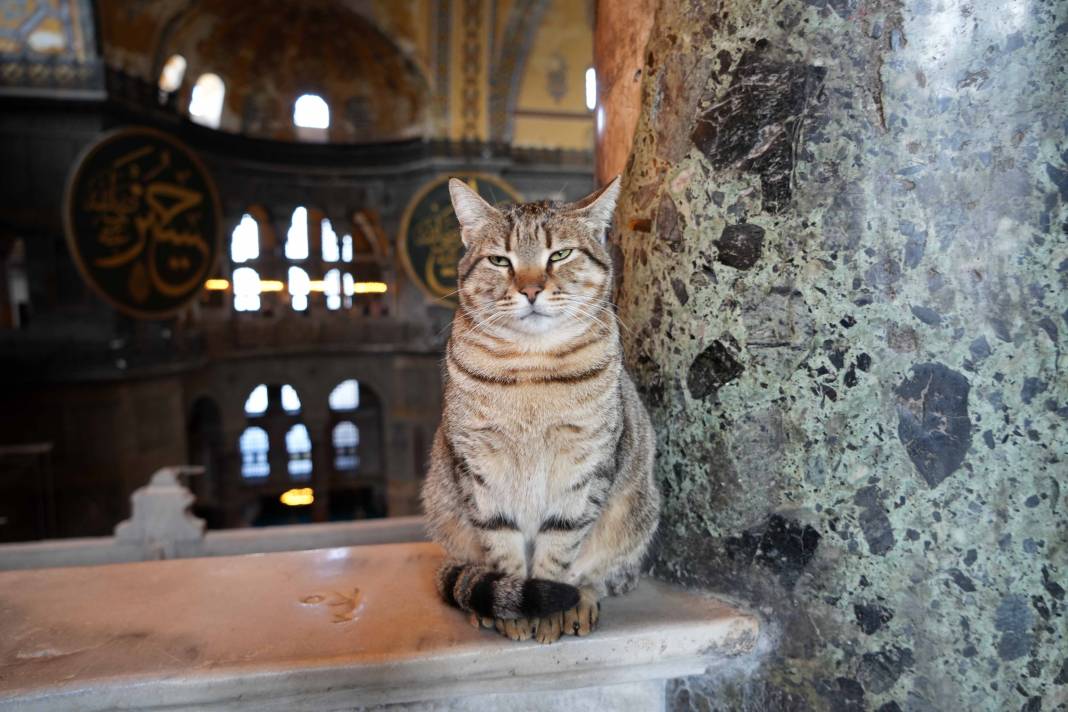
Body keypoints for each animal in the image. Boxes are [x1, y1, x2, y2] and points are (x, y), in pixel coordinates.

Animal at [418, 175, 657, 644]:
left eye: (560, 254)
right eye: (499, 260)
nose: (530, 290)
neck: (532, 365)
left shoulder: (585, 464)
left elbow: (560, 545)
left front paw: (550, 608)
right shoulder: (479, 464)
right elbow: (501, 541)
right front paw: (516, 608)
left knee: (602, 572)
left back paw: (581, 599)